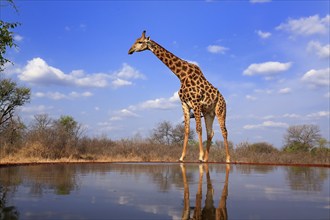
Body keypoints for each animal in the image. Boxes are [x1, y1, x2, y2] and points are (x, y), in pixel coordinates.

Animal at [127, 30, 231, 162]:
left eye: (140, 42)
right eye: (135, 41)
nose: (130, 50)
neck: (181, 75)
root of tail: (224, 99)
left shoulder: (196, 103)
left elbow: (198, 128)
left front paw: (200, 156)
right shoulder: (184, 104)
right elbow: (186, 130)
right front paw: (182, 157)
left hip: (220, 110)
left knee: (224, 131)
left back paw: (227, 159)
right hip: (209, 113)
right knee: (210, 132)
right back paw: (207, 159)